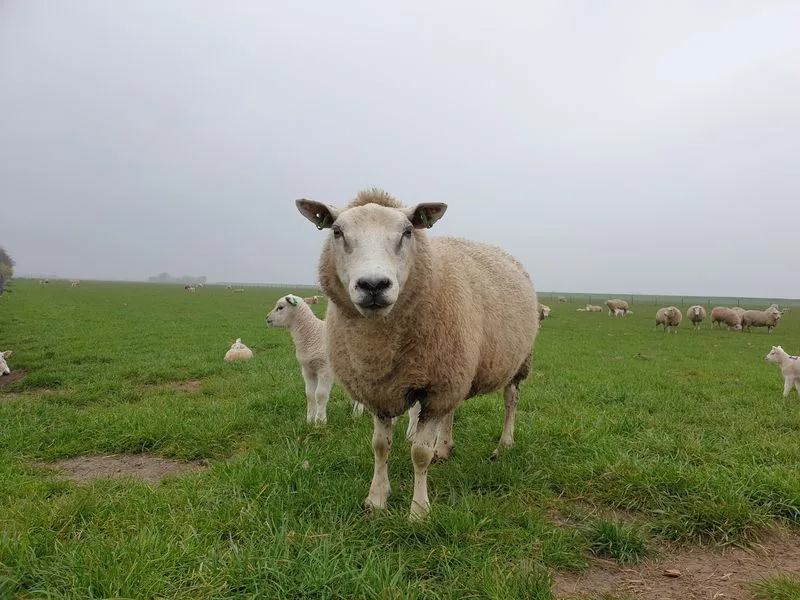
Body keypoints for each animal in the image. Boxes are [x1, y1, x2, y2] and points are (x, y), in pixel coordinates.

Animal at [266, 294, 365, 424]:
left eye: (280, 307)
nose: (267, 318)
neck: (311, 333)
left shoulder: (325, 369)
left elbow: (320, 395)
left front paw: (320, 421)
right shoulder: (307, 370)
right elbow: (310, 394)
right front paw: (310, 420)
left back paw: (358, 414)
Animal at [296, 188, 538, 520]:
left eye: (407, 232)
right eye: (337, 232)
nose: (374, 285)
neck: (379, 347)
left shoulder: (434, 389)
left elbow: (419, 453)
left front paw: (419, 511)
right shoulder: (380, 390)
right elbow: (380, 446)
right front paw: (376, 499)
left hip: (517, 361)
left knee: (511, 401)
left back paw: (505, 442)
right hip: (457, 367)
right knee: (453, 410)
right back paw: (445, 448)